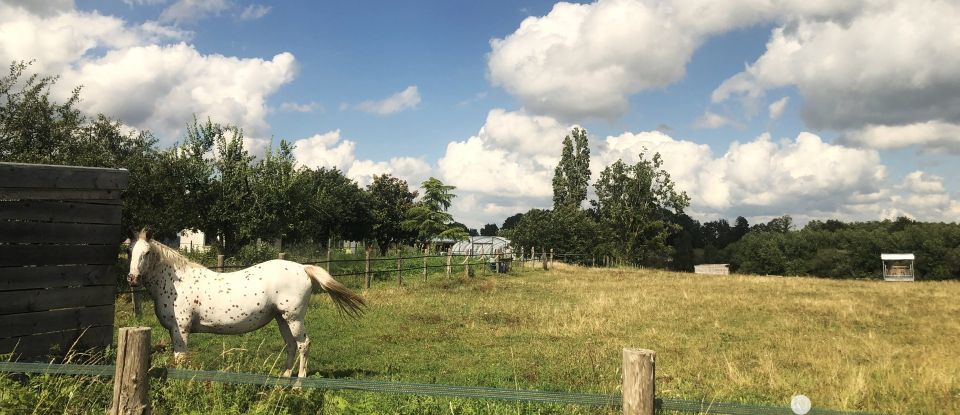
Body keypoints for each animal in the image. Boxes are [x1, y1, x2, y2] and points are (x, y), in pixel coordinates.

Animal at [125, 232, 366, 378]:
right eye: (129, 251)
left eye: (147, 252)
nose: (132, 278)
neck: (176, 282)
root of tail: (303, 268)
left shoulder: (180, 330)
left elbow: (181, 359)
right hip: (282, 319)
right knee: (291, 345)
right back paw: (284, 376)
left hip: (294, 318)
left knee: (303, 344)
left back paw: (299, 381)